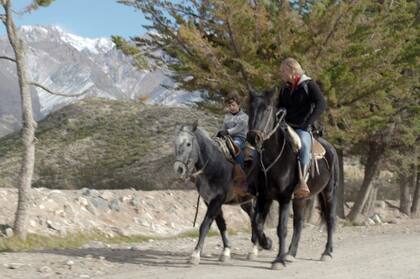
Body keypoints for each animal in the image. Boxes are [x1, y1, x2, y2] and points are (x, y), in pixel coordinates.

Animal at [172, 123, 270, 266]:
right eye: (175, 143)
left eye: (188, 144)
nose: (178, 168)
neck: (215, 165)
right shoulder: (210, 201)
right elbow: (221, 224)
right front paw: (226, 251)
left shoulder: (217, 200)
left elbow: (205, 225)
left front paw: (195, 255)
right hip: (245, 201)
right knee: (253, 217)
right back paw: (257, 247)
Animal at [246, 91, 338, 270]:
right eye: (250, 108)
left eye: (268, 109)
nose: (254, 137)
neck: (273, 158)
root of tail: (330, 148)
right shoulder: (264, 197)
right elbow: (257, 222)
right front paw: (267, 243)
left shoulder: (285, 198)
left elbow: (281, 228)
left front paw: (278, 260)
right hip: (301, 198)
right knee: (299, 223)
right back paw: (291, 253)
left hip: (329, 193)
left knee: (330, 219)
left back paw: (327, 252)